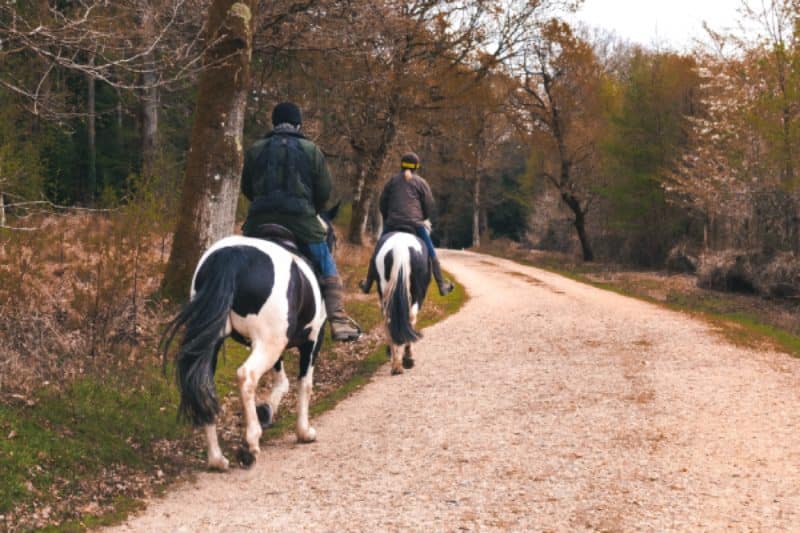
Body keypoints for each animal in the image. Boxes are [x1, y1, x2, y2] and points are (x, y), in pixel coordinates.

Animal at [161, 202, 340, 468]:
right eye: (332, 237)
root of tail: (232, 257)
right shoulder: (312, 341)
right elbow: (304, 384)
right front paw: (304, 431)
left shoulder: (276, 345)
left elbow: (282, 381)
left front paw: (266, 410)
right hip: (268, 343)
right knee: (247, 376)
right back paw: (250, 444)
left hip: (215, 342)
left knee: (203, 384)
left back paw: (216, 459)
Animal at [368, 230, 432, 374]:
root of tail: (400, 249)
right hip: (416, 294)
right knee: (410, 318)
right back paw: (406, 359)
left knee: (389, 319)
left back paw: (396, 364)